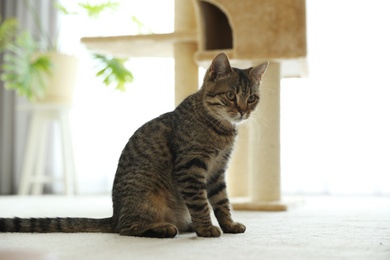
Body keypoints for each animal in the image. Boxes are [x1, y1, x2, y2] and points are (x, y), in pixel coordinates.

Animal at [0, 52, 268, 238]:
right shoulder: (191, 166)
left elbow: (222, 202)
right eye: (230, 96)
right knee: (127, 229)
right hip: (147, 198)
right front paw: (206, 228)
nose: (243, 111)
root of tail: (114, 215)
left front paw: (229, 224)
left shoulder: (217, 170)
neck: (221, 130)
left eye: (252, 98)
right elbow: (201, 203)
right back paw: (164, 228)